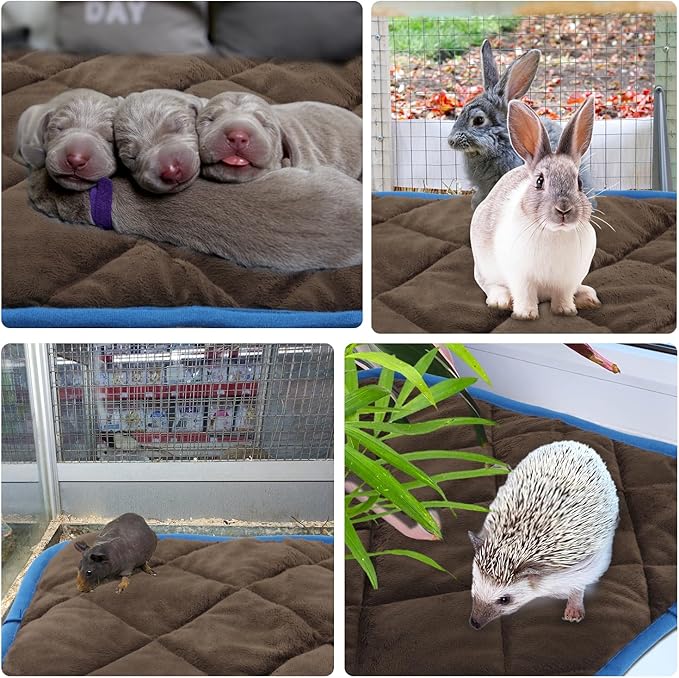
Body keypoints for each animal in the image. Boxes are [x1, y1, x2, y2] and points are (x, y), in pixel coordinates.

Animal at [470, 95, 601, 321]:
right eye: (539, 181)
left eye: (579, 183)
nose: (563, 209)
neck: (555, 232)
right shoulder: (521, 277)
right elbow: (525, 295)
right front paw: (525, 315)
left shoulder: (567, 280)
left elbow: (563, 296)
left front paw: (566, 311)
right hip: (484, 268)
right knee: (490, 285)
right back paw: (500, 301)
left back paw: (588, 297)